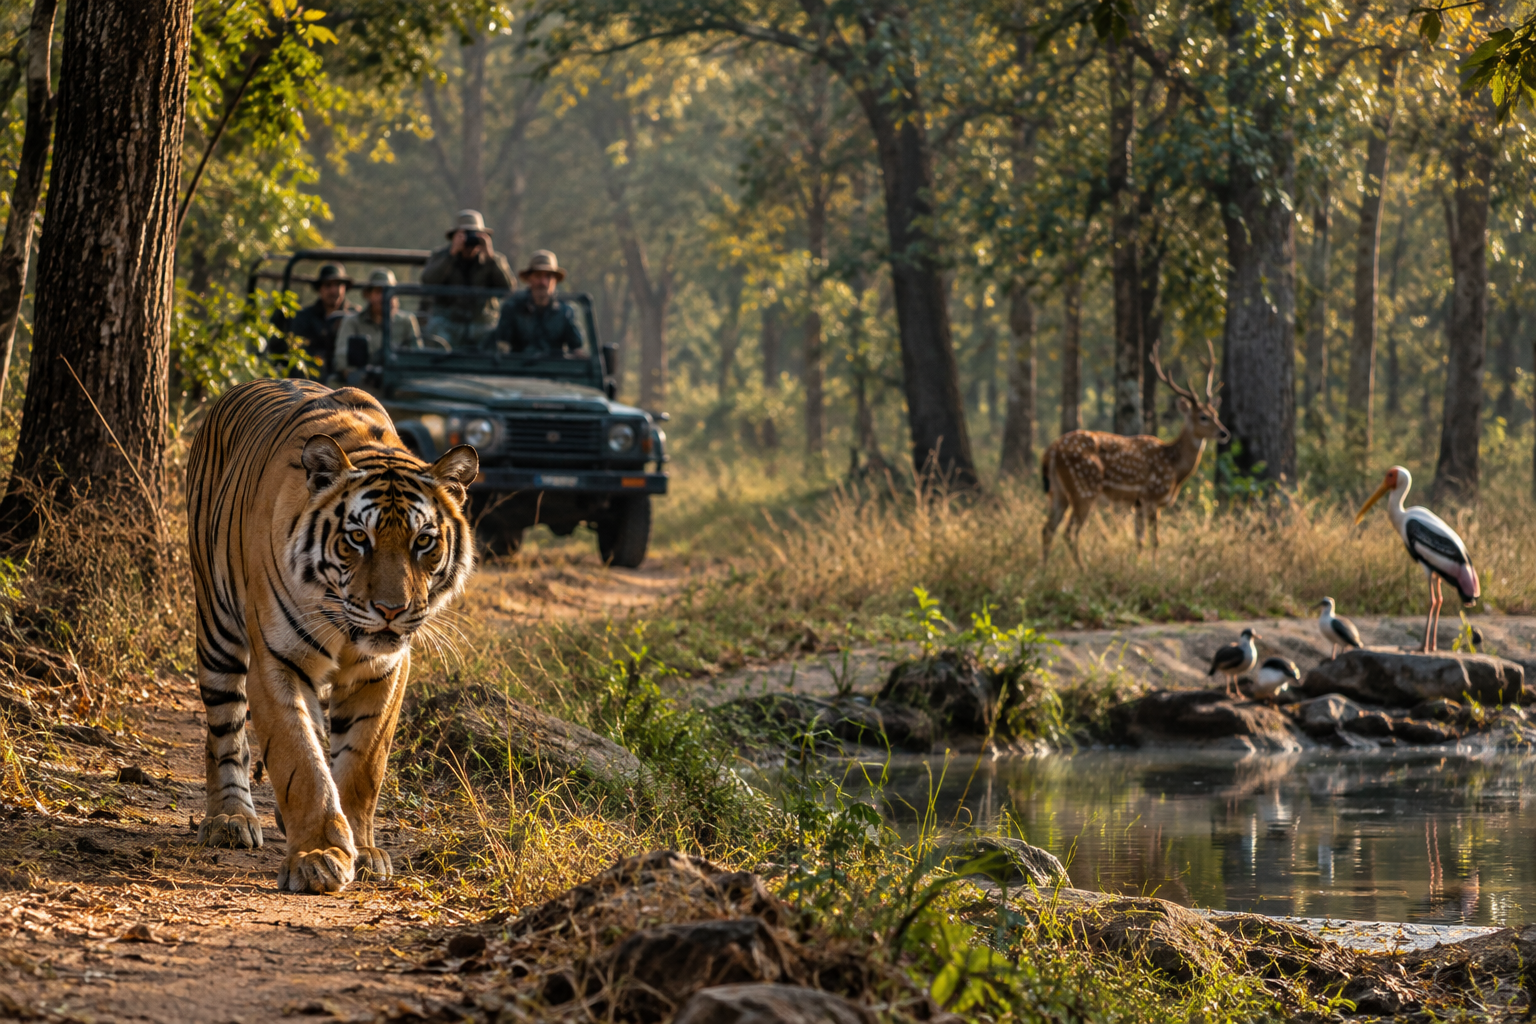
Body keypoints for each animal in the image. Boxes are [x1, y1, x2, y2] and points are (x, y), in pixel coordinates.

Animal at [187, 379, 477, 893]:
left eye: (423, 541)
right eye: (358, 538)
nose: (391, 610)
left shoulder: (385, 669)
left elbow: (362, 763)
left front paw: (363, 849)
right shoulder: (276, 661)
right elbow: (299, 759)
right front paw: (319, 855)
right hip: (217, 629)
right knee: (223, 729)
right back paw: (229, 819)